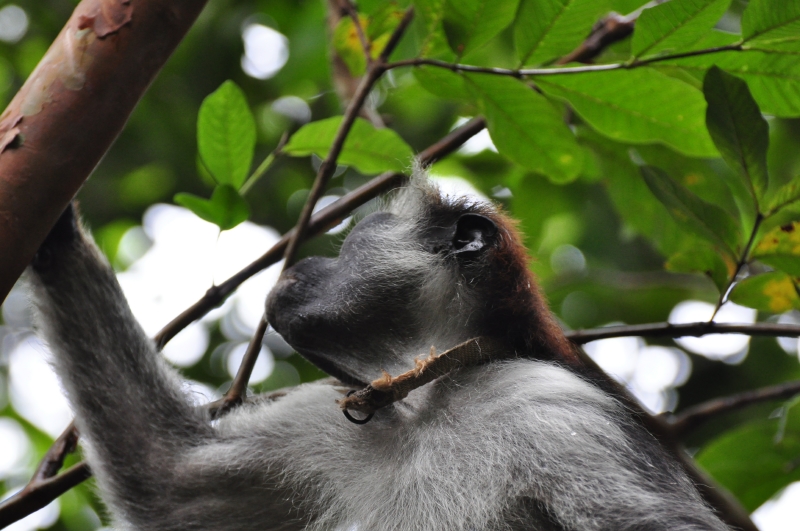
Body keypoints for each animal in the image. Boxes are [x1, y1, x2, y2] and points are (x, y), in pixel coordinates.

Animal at [26, 178, 731, 530]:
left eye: (350, 242)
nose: (307, 263)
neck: (426, 401)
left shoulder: (556, 410)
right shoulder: (326, 419)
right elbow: (165, 477)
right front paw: (53, 223)